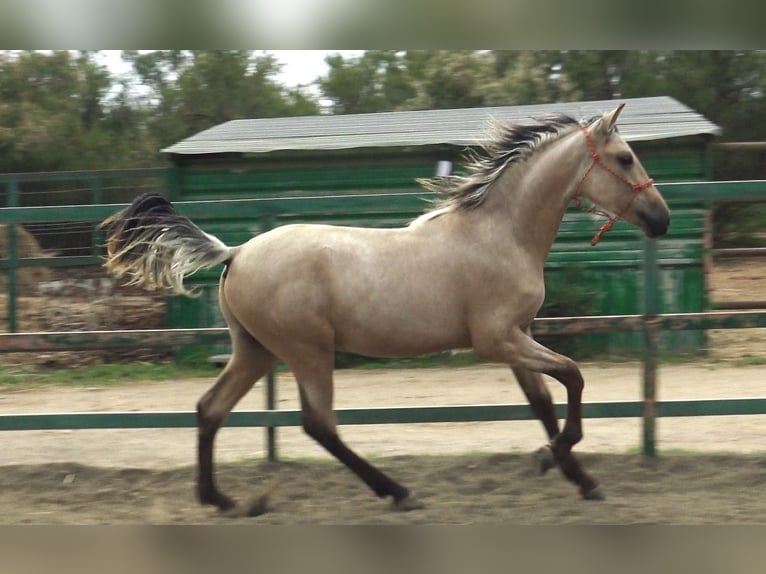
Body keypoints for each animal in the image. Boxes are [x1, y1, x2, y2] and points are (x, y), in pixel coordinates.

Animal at [103, 104, 672, 516]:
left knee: (210, 409)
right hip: (307, 350)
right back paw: (398, 492)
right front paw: (549, 460)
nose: (662, 218)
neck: (501, 232)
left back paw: (221, 499)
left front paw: (581, 480)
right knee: (319, 425)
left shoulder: (517, 336)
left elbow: (544, 405)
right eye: (625, 158)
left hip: (256, 351)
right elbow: (573, 379)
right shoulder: (497, 340)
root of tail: (236, 252)